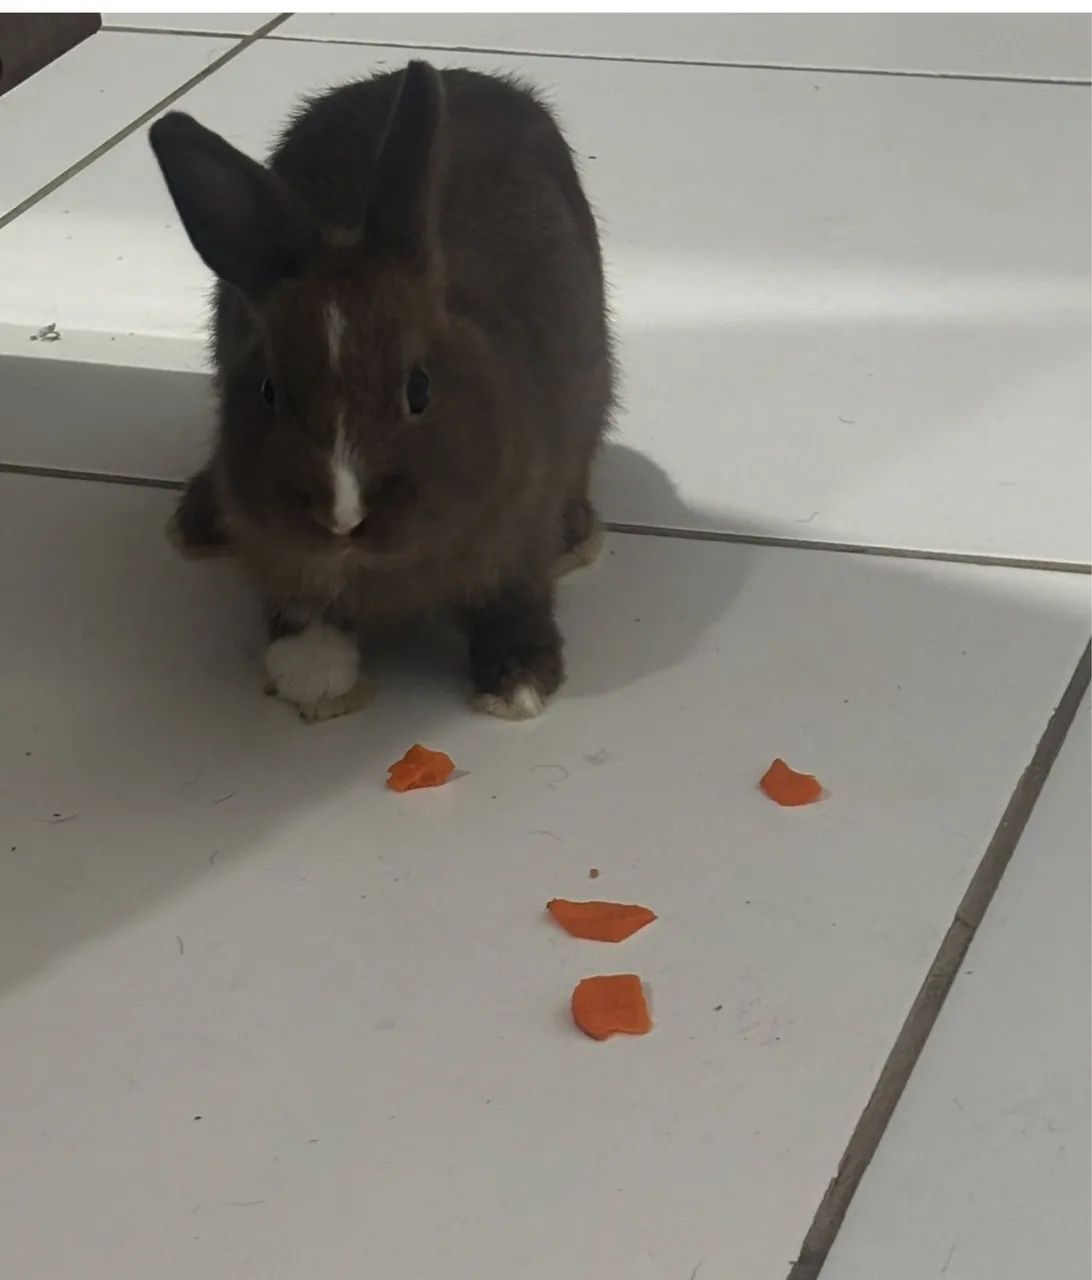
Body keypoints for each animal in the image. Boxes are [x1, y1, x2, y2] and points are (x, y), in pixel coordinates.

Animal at [149, 60, 614, 723]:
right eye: (269, 390)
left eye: (419, 388)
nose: (343, 517)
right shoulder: (278, 552)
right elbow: (303, 613)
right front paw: (315, 680)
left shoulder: (521, 524)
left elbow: (512, 598)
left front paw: (518, 687)